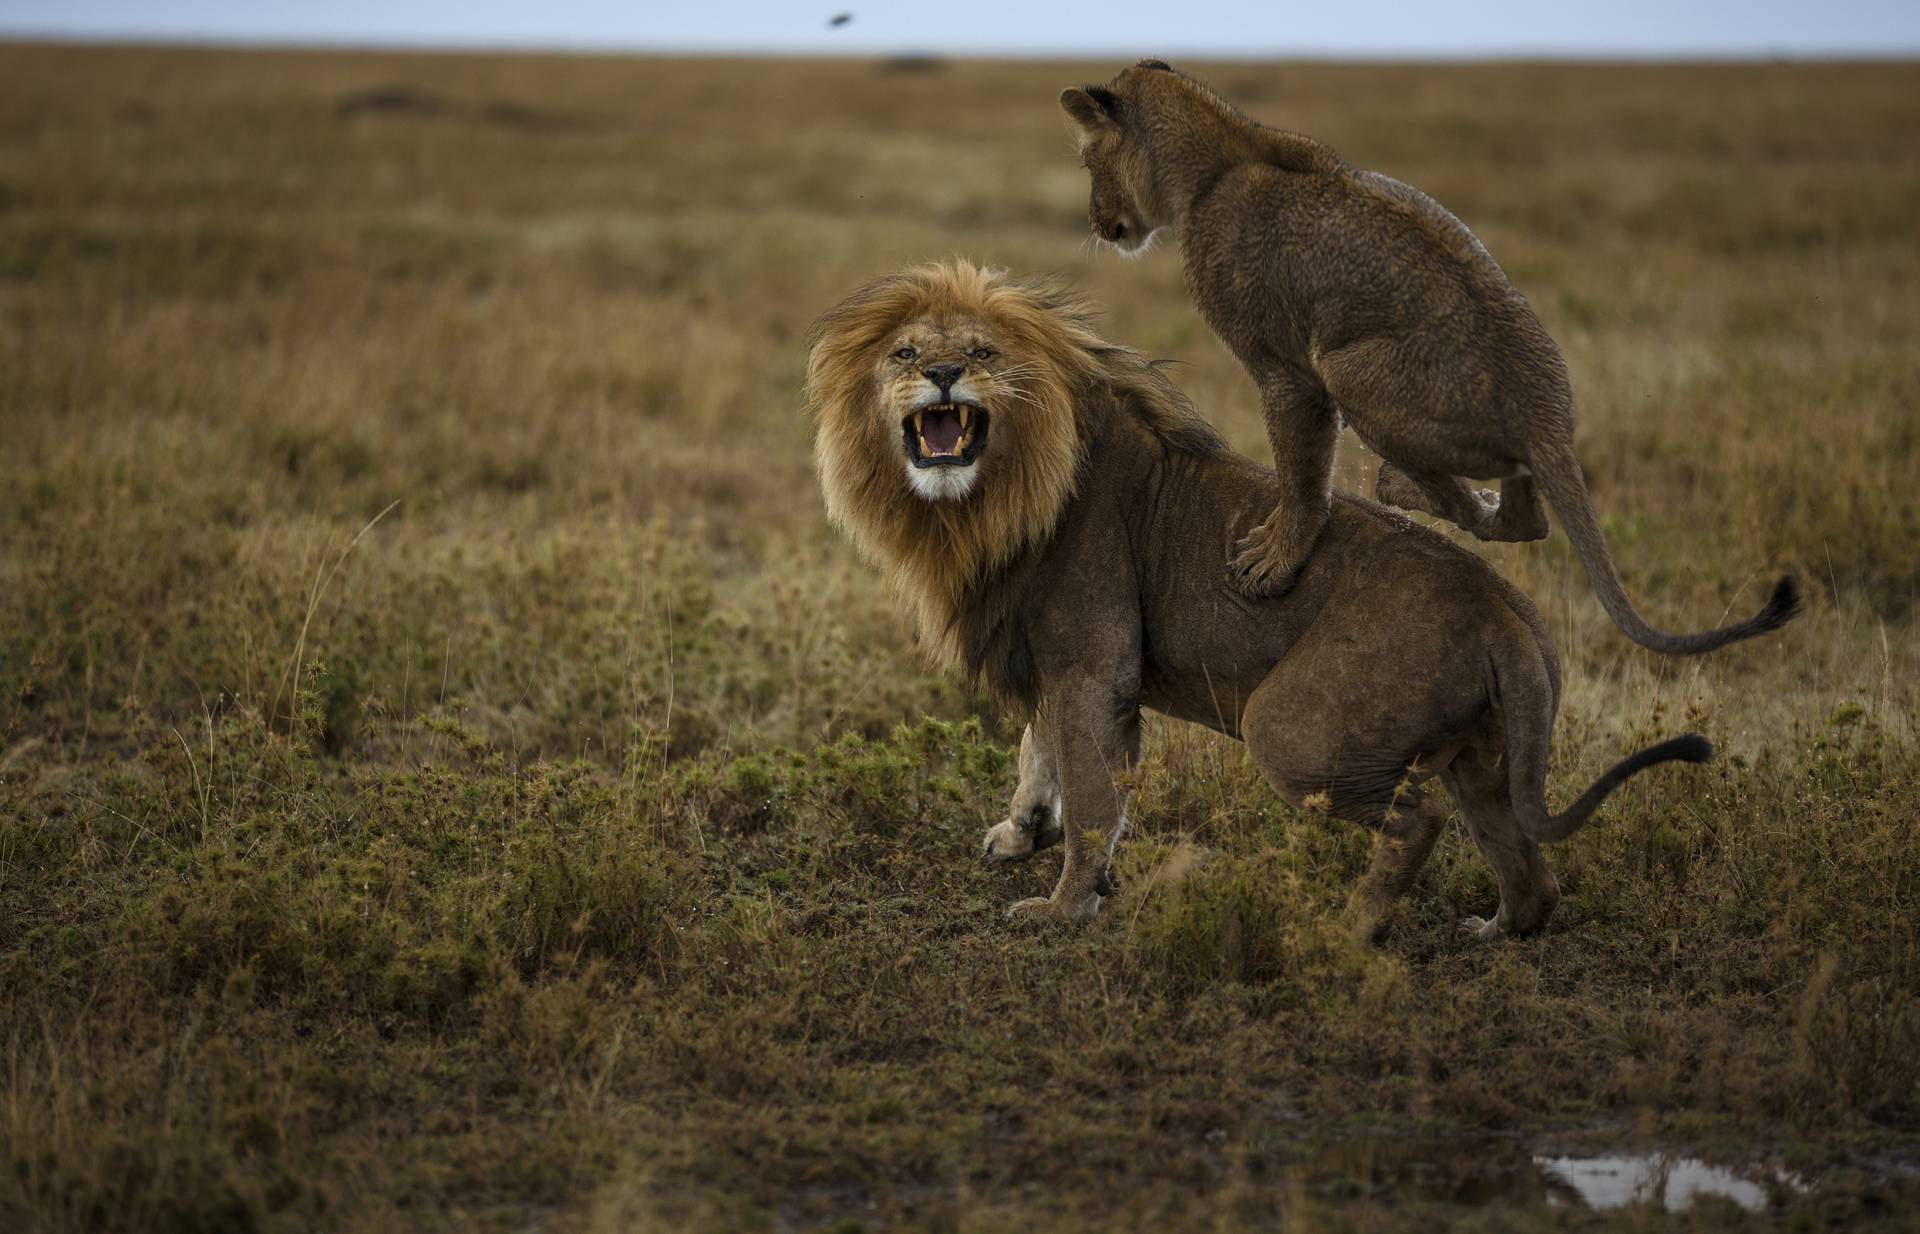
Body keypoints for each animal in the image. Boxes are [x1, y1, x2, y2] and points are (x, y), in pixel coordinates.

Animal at [806, 261, 1712, 936]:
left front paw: (1064, 907)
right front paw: (1025, 832)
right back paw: (1495, 929)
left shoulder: (1093, 661)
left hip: (1290, 730)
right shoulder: (1058, 663)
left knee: (1416, 819)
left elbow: (1093, 790)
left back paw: (1348, 931)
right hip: (1481, 754)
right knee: (1527, 870)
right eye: (903, 352)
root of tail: (1509, 615)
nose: (942, 373)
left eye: (983, 352)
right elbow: (1043, 749)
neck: (982, 502)